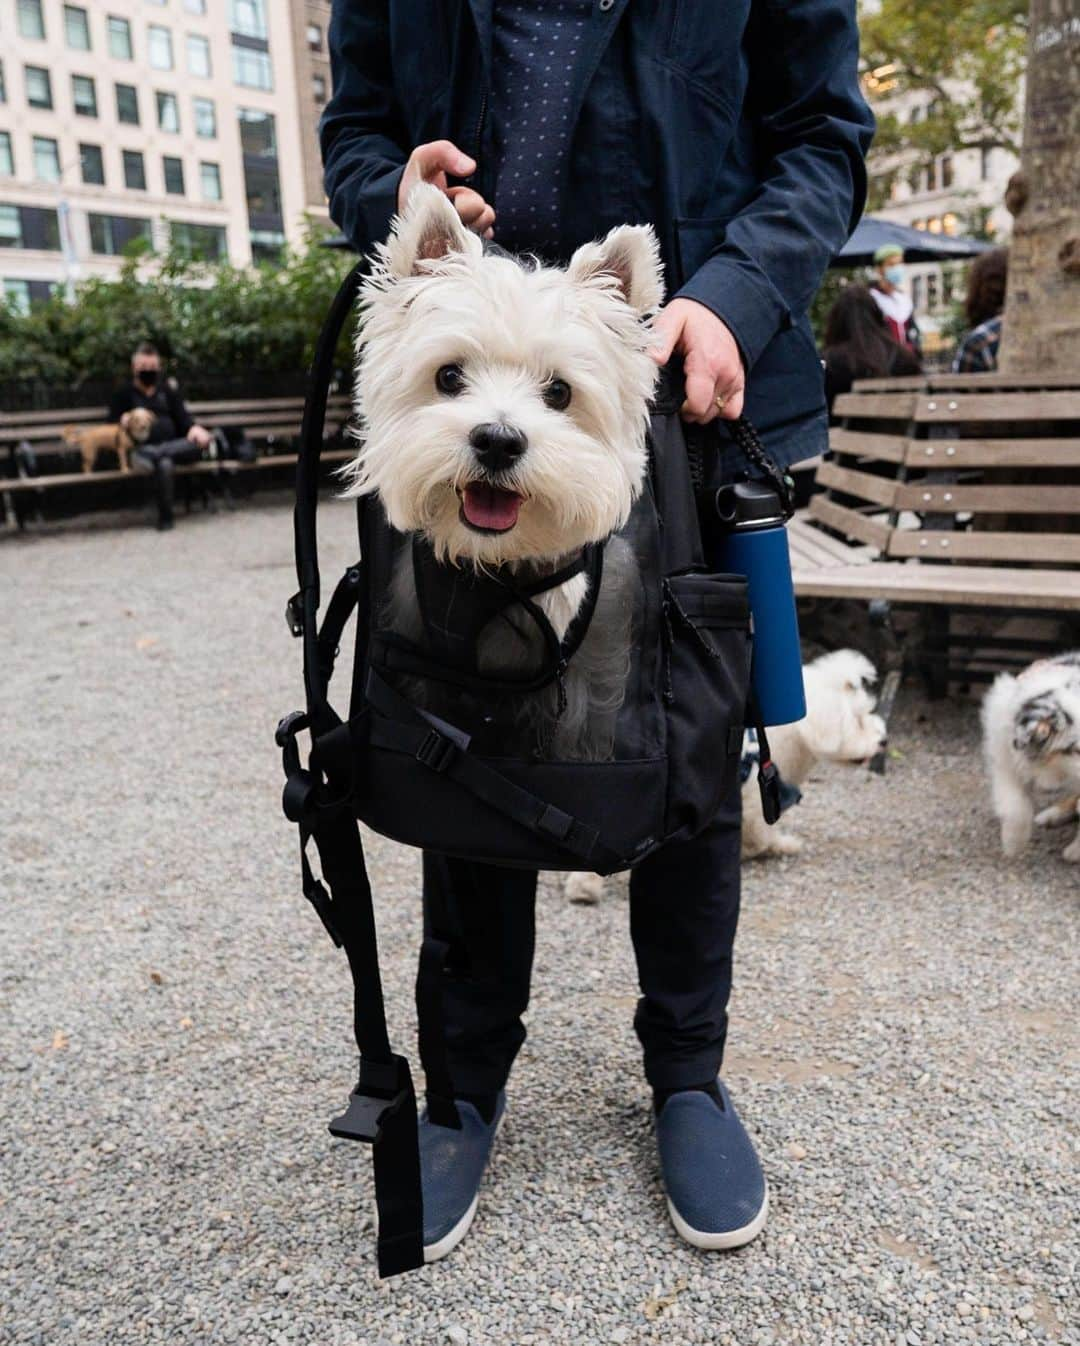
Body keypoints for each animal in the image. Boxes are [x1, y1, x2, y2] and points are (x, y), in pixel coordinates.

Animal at [344, 185, 665, 764]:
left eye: (559, 391)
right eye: (449, 376)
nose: (497, 441)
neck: (500, 569)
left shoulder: (588, 675)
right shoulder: (420, 661)